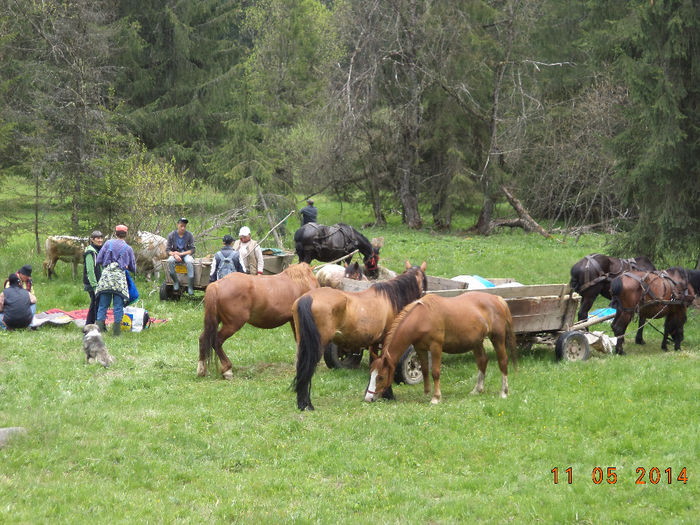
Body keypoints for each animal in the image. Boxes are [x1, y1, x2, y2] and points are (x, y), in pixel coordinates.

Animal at [292, 260, 426, 412]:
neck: (389, 298)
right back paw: (306, 405)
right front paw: (387, 395)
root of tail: (308, 297)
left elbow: (375, 365)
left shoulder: (374, 342)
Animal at [366, 292, 516, 404]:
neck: (422, 317)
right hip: (477, 342)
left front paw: (436, 397)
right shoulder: (420, 348)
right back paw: (477, 389)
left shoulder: (436, 347)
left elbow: (435, 372)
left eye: (381, 377)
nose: (368, 398)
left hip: (497, 339)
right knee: (482, 361)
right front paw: (426, 393)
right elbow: (425, 370)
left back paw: (504, 392)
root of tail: (497, 299)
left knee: (503, 361)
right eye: (371, 374)